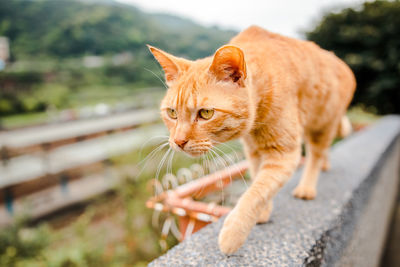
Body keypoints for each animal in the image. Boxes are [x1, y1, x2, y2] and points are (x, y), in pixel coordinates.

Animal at [148, 25, 354, 255]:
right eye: (172, 113)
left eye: (206, 113)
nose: (179, 141)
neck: (256, 123)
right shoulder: (254, 151)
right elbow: (258, 181)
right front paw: (263, 212)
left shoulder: (283, 154)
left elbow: (256, 192)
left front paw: (233, 233)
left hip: (323, 125)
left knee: (315, 155)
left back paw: (307, 188)